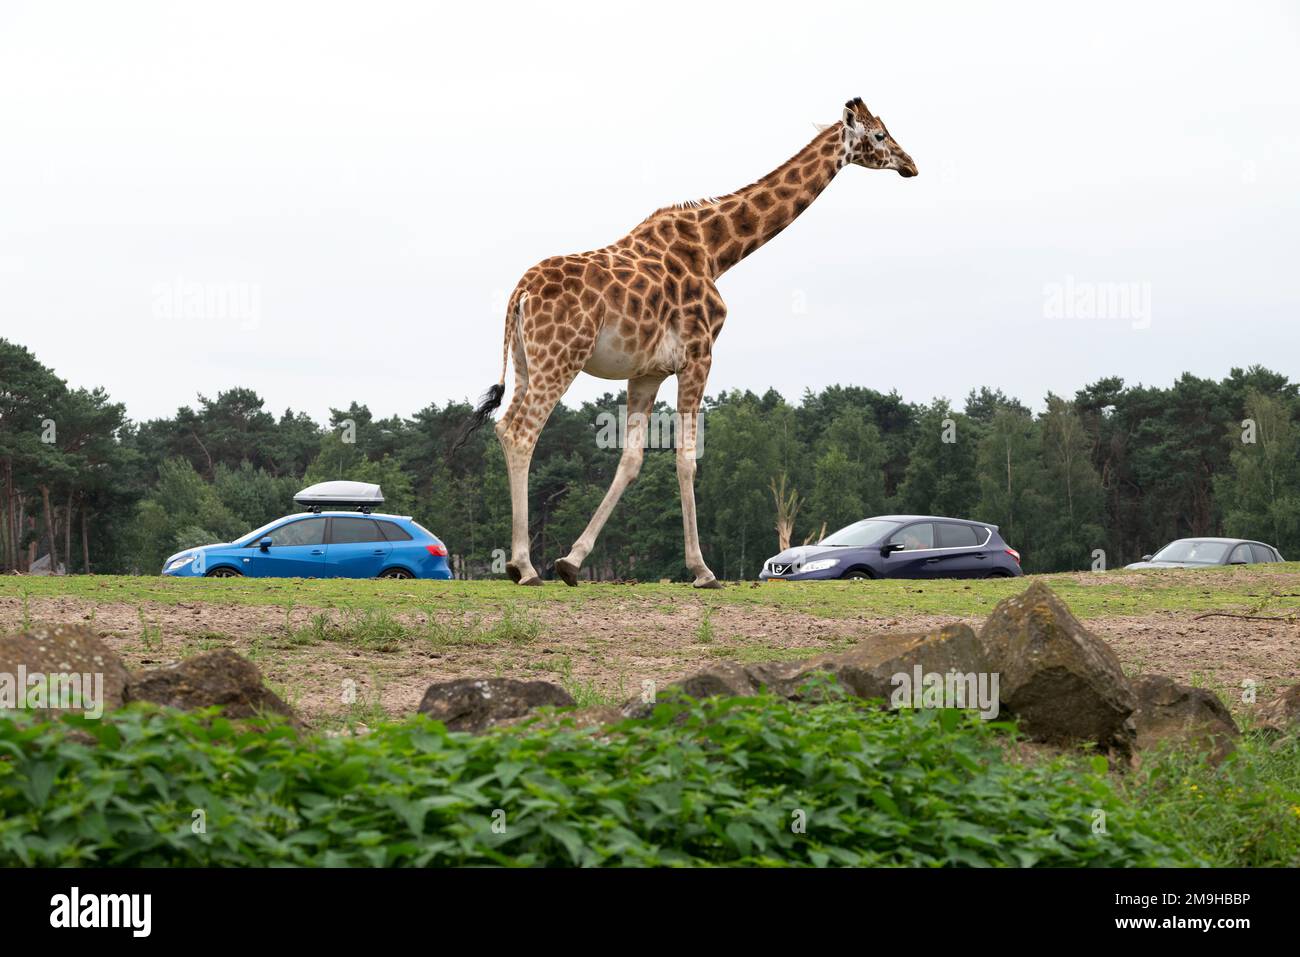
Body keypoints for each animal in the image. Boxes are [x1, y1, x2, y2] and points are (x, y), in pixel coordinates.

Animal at [454, 100, 915, 587]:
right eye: (880, 135)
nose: (911, 165)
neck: (717, 251)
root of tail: (519, 294)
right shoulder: (699, 354)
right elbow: (687, 459)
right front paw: (702, 569)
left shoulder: (648, 372)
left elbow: (631, 460)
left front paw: (571, 561)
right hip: (561, 357)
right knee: (520, 431)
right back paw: (524, 567)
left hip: (527, 361)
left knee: (507, 426)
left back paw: (522, 564)